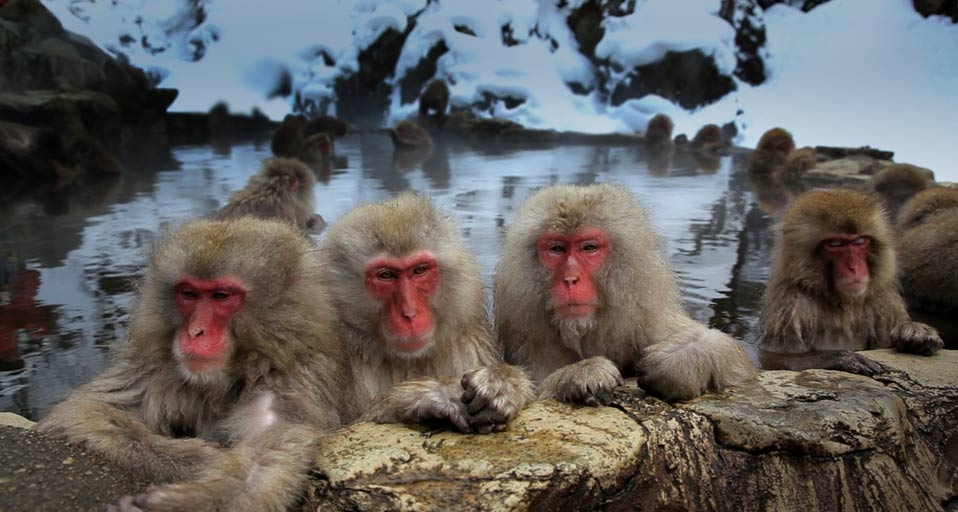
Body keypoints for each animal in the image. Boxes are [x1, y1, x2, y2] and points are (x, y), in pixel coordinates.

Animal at [37, 217, 347, 512]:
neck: (229, 375)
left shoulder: (286, 383)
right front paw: (197, 459)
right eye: (188, 294)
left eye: (221, 296)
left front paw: (194, 501)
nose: (195, 332)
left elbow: (264, 461)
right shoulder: (157, 369)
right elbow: (83, 410)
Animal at [318, 193, 535, 434]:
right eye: (386, 275)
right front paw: (426, 396)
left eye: (419, 270)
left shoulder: (466, 338)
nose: (410, 313)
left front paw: (503, 382)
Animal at [494, 183, 757, 404]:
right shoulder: (530, 342)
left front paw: (677, 359)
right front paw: (582, 373)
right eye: (557, 248)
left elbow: (733, 359)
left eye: (589, 247)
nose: (570, 279)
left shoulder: (647, 319)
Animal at [758, 189, 943, 375]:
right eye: (835, 244)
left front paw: (916, 332)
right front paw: (842, 358)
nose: (854, 268)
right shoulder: (791, 306)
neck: (843, 302)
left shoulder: (885, 301)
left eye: (859, 241)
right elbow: (773, 358)